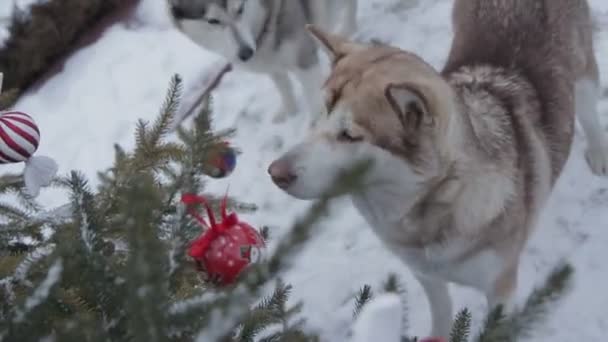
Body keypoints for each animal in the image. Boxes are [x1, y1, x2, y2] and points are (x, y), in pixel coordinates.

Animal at [167, 0, 356, 124]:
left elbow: (314, 99)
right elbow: (285, 89)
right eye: (212, 20)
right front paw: (291, 114)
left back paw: (346, 30)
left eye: (240, 9)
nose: (246, 53)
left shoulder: (304, 60)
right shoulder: (272, 65)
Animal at [268, 0, 608, 336]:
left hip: (582, 76)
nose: (275, 173)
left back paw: (598, 152)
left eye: (349, 135)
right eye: (321, 114)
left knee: (589, 111)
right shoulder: (425, 273)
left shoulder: (500, 290)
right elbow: (442, 309)